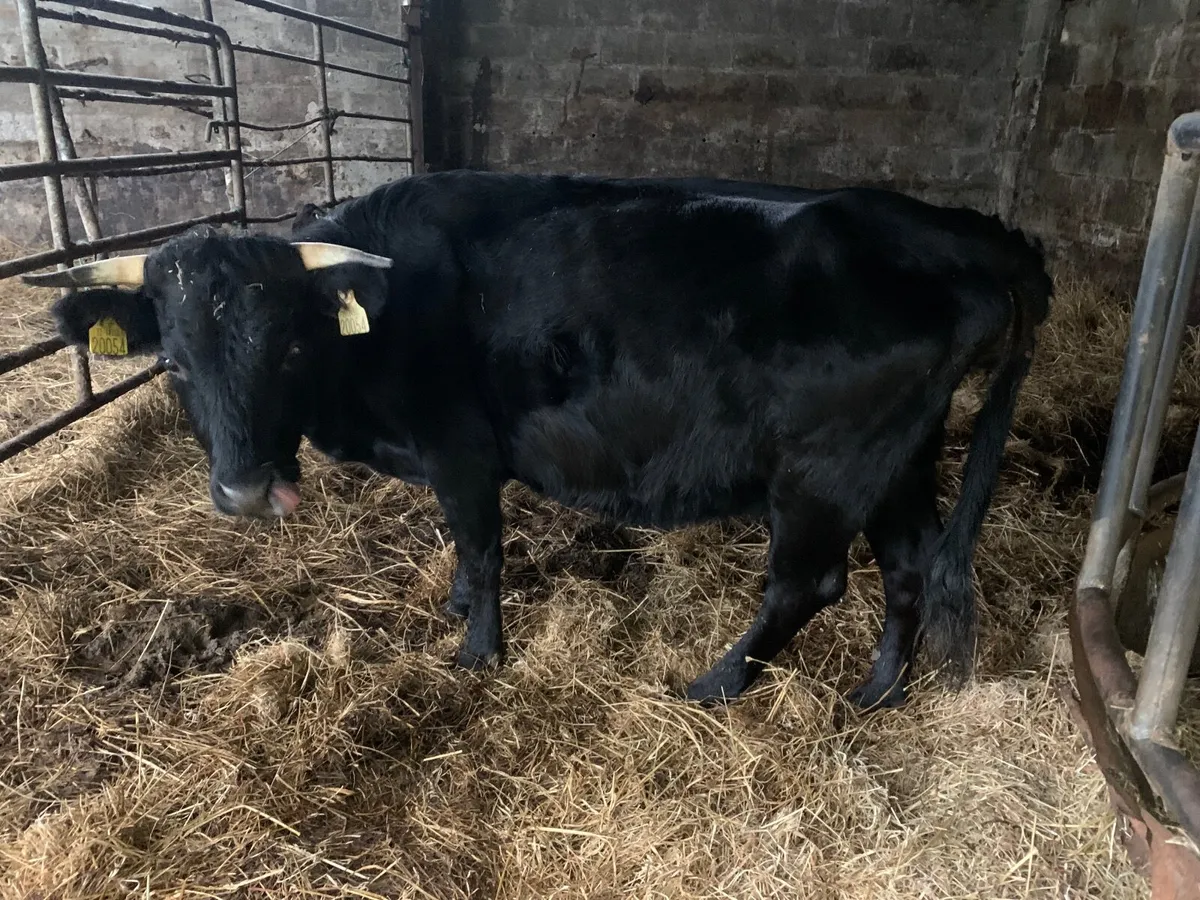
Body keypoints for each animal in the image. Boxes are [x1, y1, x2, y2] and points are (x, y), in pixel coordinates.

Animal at [24, 171, 1052, 709]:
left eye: (290, 344)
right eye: (174, 361)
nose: (242, 492)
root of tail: (941, 224)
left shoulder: (463, 450)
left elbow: (482, 546)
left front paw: (478, 651)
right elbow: (458, 550)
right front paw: (452, 607)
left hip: (825, 468)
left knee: (811, 583)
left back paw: (715, 684)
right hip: (900, 459)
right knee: (910, 566)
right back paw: (879, 692)